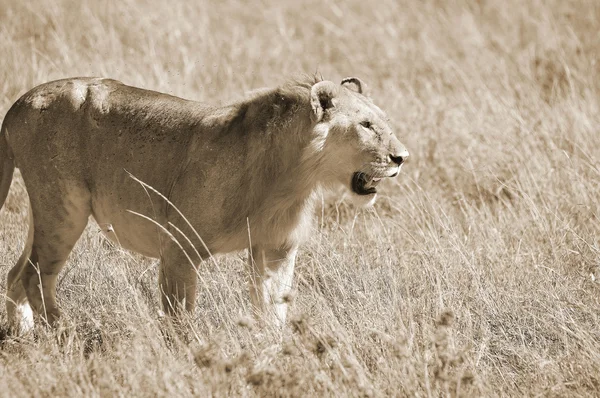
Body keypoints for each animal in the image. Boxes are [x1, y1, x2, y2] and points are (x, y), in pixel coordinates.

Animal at [0, 74, 408, 332]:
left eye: (385, 121)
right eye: (366, 125)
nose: (402, 157)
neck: (292, 178)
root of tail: (21, 100)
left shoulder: (275, 249)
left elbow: (273, 309)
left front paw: (272, 354)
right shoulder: (179, 247)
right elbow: (180, 317)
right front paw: (191, 357)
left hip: (47, 210)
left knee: (16, 272)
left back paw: (21, 333)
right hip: (63, 207)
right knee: (35, 275)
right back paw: (61, 332)